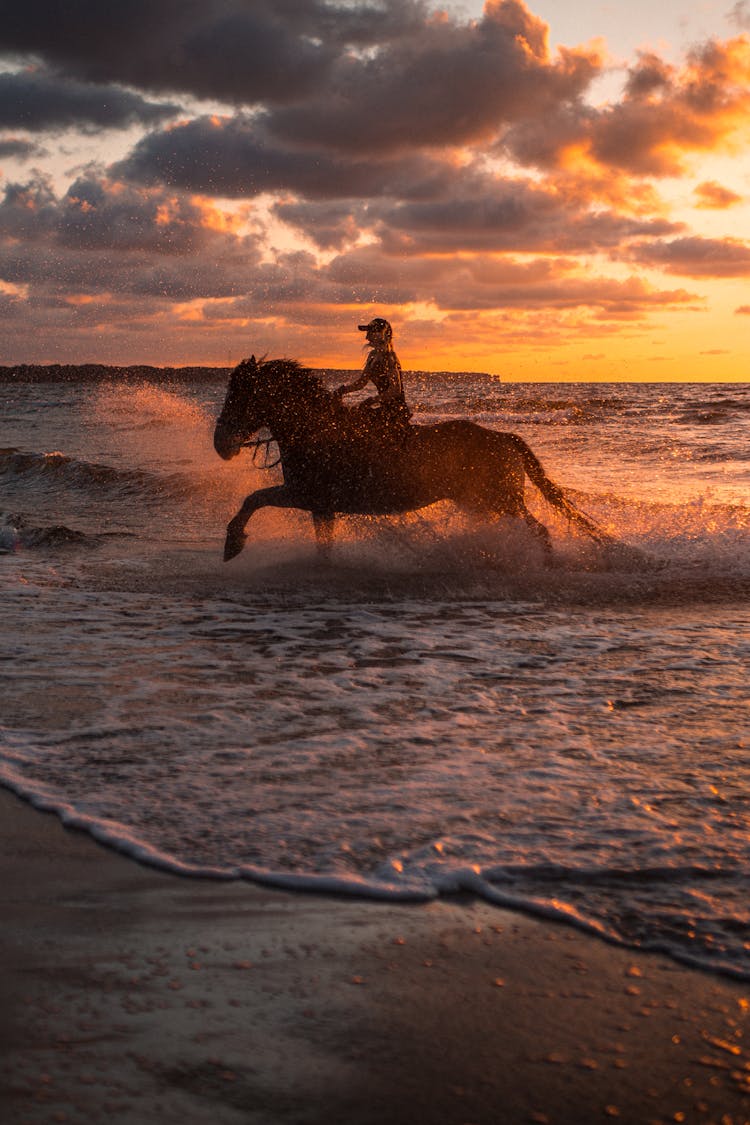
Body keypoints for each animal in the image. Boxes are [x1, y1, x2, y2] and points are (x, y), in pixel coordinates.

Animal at [211, 353, 611, 560]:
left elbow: (253, 499)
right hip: (481, 503)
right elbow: (322, 545)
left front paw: (233, 543)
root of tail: (504, 438)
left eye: (240, 395)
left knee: (540, 529)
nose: (220, 443)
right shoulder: (321, 506)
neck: (316, 430)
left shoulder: (304, 494)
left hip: (502, 500)